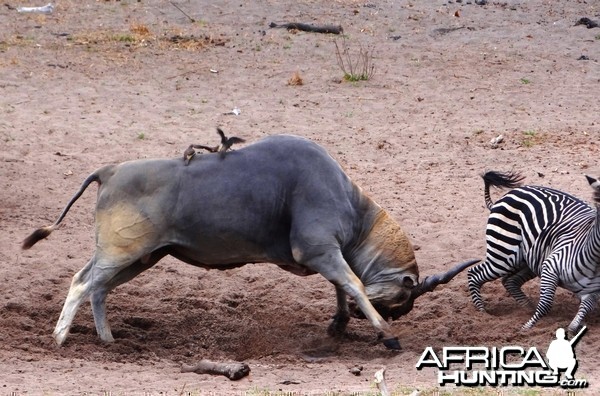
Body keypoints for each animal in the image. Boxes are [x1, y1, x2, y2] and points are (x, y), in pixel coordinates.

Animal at [468, 169, 600, 332]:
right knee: (474, 274)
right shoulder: (550, 267)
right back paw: (482, 312)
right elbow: (545, 305)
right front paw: (525, 329)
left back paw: (528, 307)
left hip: (527, 259)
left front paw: (571, 329)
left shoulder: (592, 293)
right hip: (503, 255)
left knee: (509, 281)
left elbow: (582, 313)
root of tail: (508, 194)